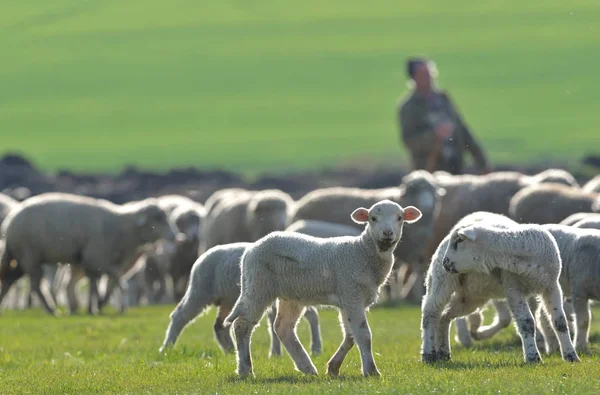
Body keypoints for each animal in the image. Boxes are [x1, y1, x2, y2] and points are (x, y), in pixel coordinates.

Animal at [0, 193, 178, 318]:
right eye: (157, 219)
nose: (174, 235)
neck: (123, 227)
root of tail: (9, 222)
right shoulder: (96, 258)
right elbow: (111, 281)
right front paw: (100, 306)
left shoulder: (98, 262)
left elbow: (100, 284)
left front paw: (94, 307)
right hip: (29, 255)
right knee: (35, 285)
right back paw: (52, 310)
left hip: (20, 258)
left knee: (9, 281)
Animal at [220, 201, 422, 378]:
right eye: (373, 218)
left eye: (399, 218)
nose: (387, 233)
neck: (361, 251)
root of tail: (251, 249)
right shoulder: (352, 294)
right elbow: (363, 335)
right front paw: (371, 371)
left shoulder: (348, 299)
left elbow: (350, 336)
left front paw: (333, 368)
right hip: (258, 286)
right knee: (242, 325)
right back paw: (245, 370)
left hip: (290, 295)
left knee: (283, 327)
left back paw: (306, 367)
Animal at [420, 213, 580, 366]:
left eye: (459, 241)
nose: (445, 263)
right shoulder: (513, 288)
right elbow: (526, 323)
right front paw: (533, 357)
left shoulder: (552, 287)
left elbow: (560, 322)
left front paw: (571, 356)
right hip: (441, 281)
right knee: (430, 314)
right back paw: (428, 354)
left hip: (471, 296)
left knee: (445, 317)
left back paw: (443, 353)